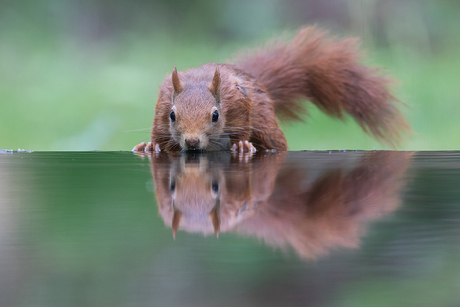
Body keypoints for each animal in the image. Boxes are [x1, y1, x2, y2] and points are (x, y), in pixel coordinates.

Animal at [132, 25, 410, 153]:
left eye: (215, 115)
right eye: (172, 115)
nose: (191, 142)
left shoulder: (238, 101)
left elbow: (242, 125)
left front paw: (242, 146)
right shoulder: (163, 102)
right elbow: (158, 132)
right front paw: (150, 146)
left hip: (266, 124)